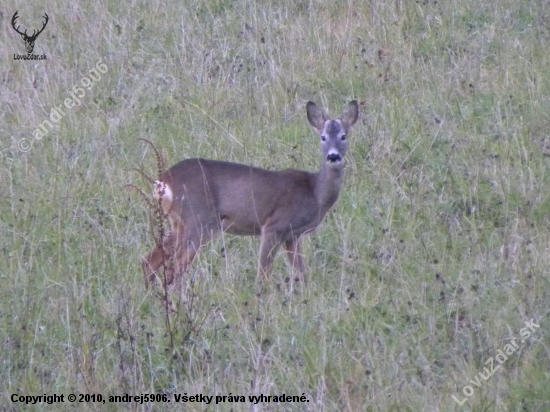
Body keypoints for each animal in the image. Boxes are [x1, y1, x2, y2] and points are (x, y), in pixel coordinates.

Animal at [142, 100, 360, 290]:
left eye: (343, 136)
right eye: (323, 137)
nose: (333, 156)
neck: (315, 192)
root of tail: (163, 181)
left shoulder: (293, 235)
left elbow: (302, 273)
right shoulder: (274, 226)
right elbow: (263, 274)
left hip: (179, 222)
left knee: (151, 259)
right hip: (199, 220)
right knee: (175, 268)